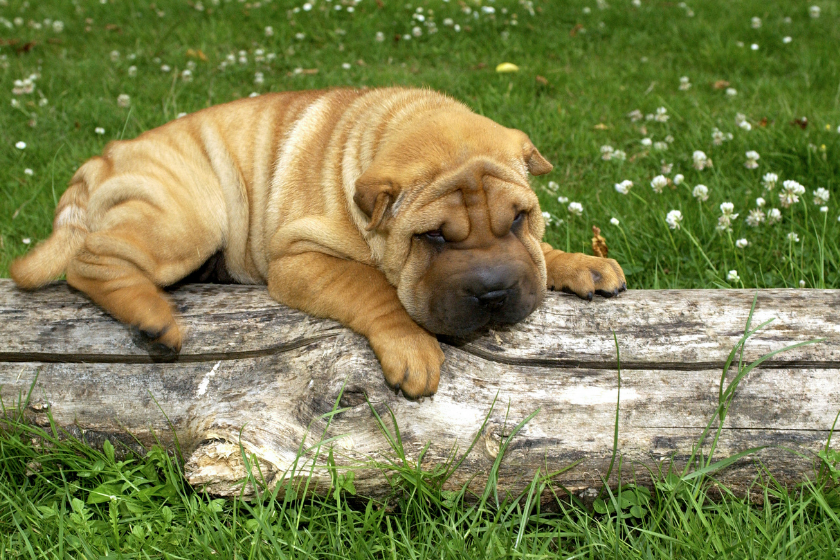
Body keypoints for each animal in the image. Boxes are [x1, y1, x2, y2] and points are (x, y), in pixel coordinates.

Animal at [11, 87, 624, 398]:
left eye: (520, 219)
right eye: (430, 237)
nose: (494, 294)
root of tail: (103, 157)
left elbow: (540, 255)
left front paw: (578, 263)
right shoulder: (300, 259)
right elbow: (373, 288)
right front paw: (412, 348)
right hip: (191, 216)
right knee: (90, 262)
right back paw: (152, 316)